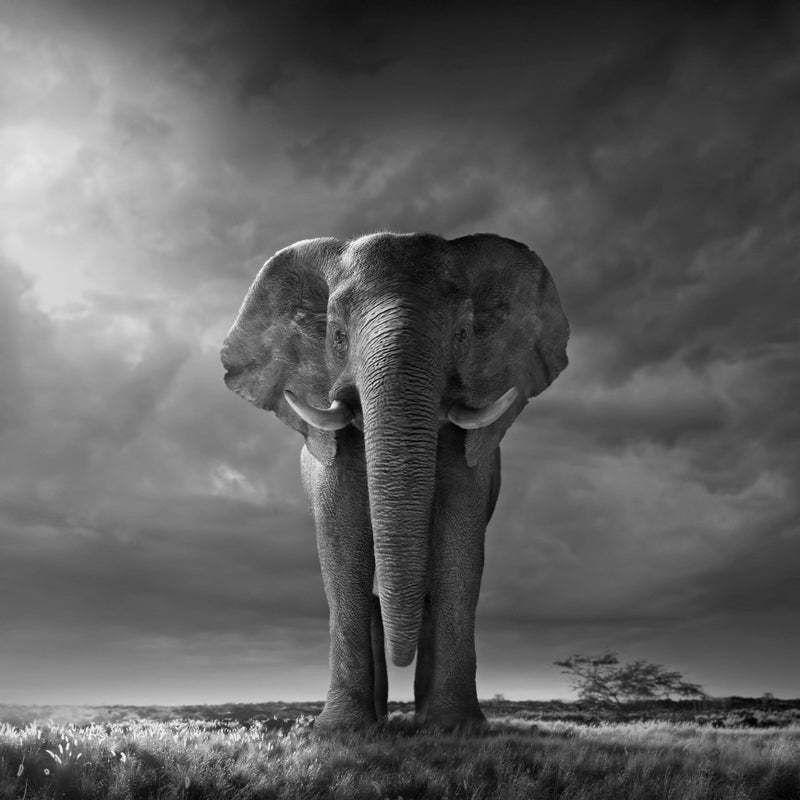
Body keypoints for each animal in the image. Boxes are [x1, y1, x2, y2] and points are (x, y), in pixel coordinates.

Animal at [220, 232, 569, 730]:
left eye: (463, 335)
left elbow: (459, 548)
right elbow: (341, 548)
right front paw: (341, 731)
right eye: (338, 336)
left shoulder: (472, 461)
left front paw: (454, 729)